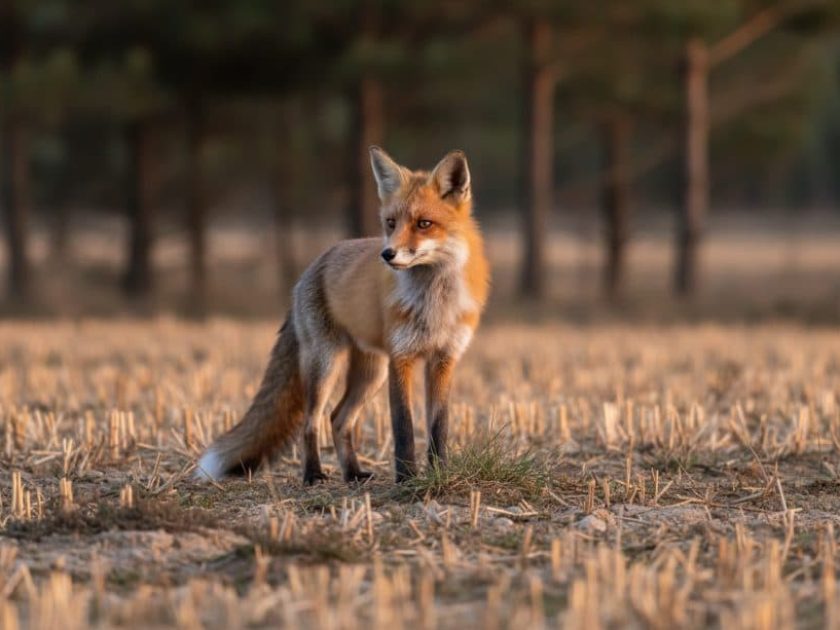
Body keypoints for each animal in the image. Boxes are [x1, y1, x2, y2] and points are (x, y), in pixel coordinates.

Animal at [195, 147, 489, 484]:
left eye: (424, 223)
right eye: (391, 223)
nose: (387, 254)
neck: (433, 302)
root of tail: (312, 266)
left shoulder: (444, 359)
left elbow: (439, 428)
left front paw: (438, 475)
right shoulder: (401, 358)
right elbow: (403, 426)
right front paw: (406, 479)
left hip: (371, 373)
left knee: (338, 418)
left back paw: (353, 473)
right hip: (326, 364)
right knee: (312, 421)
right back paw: (313, 474)